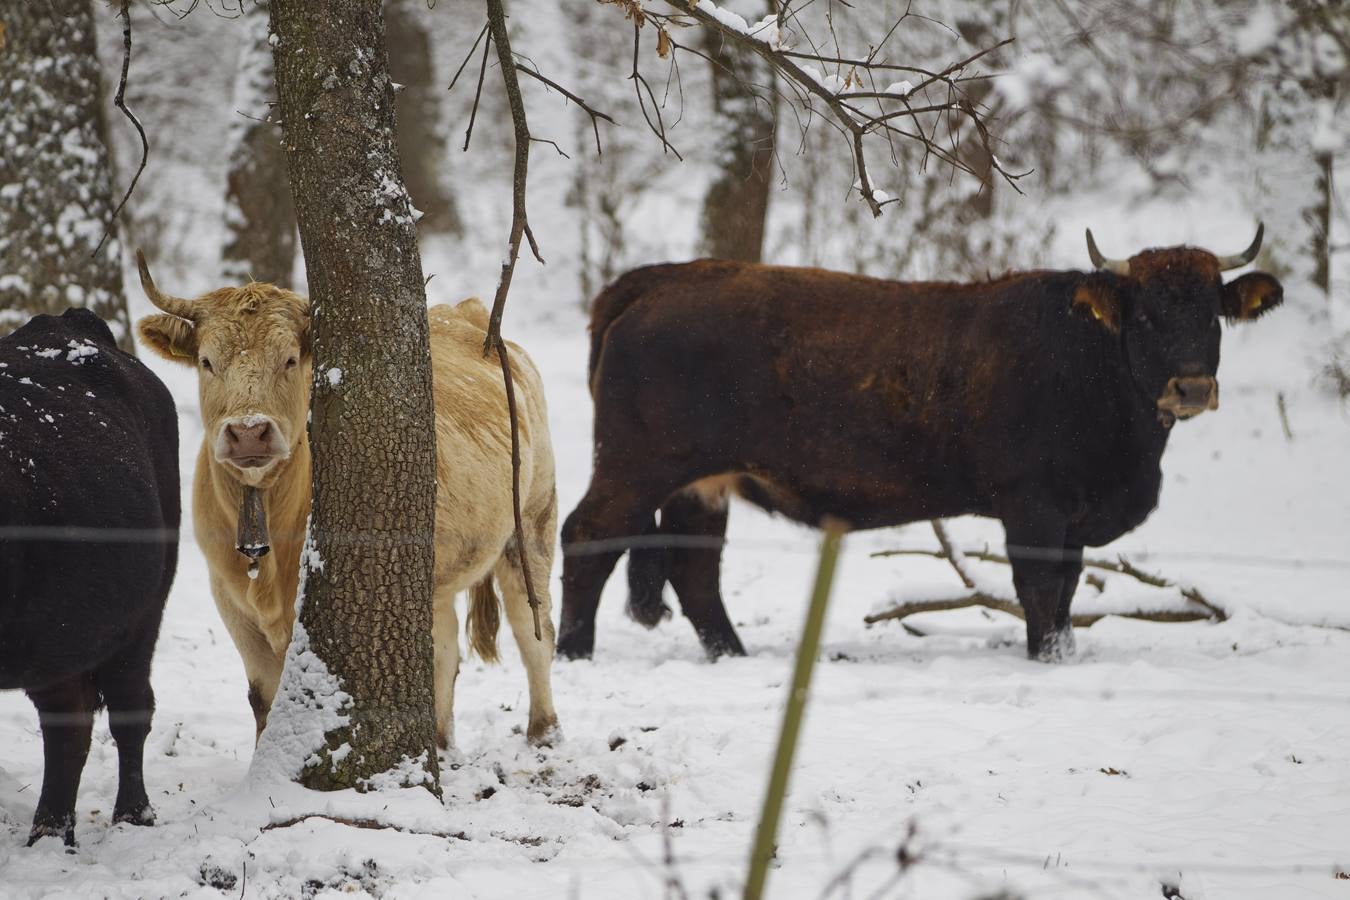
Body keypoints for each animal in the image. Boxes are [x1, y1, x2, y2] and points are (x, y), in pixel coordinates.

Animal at [0, 310, 179, 847]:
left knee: (128, 709)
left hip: (141, 614)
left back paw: (131, 816)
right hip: (57, 632)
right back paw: (51, 832)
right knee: (70, 723)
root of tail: (65, 322)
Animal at [558, 225, 1285, 661]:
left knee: (695, 568)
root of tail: (664, 278)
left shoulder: (1074, 518)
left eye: (1211, 313)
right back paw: (573, 652)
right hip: (635, 468)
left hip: (699, 484)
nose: (1191, 387)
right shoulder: (1034, 507)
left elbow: (1068, 591)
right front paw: (1045, 658)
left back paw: (732, 656)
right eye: (1148, 314)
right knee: (588, 537)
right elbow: (1040, 589)